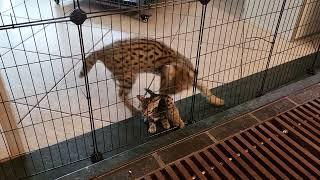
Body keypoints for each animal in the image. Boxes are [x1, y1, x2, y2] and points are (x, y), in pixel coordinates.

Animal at [79, 38, 225, 114]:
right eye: (164, 86)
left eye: (174, 92)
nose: (162, 93)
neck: (178, 61)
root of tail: (102, 51)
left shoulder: (193, 77)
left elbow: (204, 88)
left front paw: (215, 99)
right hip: (129, 76)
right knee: (121, 95)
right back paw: (133, 109)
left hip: (123, 75)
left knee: (115, 80)